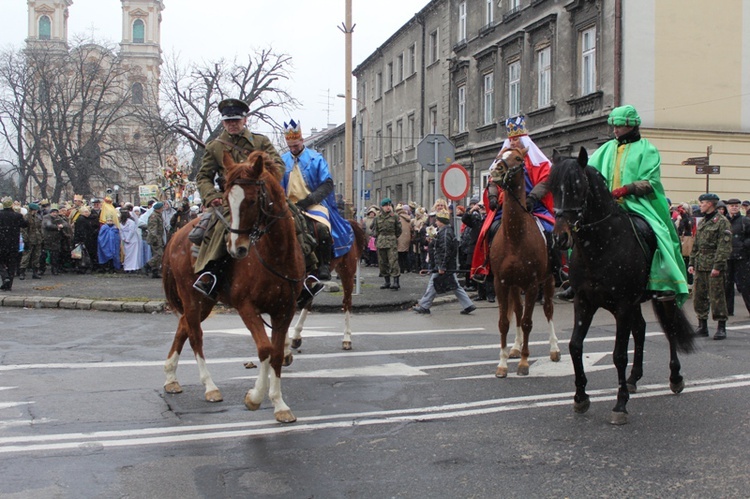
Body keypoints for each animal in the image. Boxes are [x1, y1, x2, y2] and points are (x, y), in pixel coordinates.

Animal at [162, 150, 306, 424]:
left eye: (251, 200)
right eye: (227, 200)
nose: (235, 248)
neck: (275, 255)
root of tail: (176, 235)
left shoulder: (284, 311)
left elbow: (277, 354)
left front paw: (280, 405)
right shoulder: (246, 307)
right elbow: (265, 349)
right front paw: (255, 397)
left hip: (205, 302)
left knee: (183, 327)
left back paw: (171, 377)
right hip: (191, 298)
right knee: (195, 336)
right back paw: (210, 387)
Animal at [290, 221, 368, 350]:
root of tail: (348, 222)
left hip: (347, 272)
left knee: (347, 302)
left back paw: (347, 338)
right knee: (308, 301)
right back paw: (296, 336)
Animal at [490, 146, 560, 376]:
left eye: (518, 158)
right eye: (498, 156)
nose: (496, 169)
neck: (514, 237)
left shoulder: (531, 285)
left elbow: (528, 322)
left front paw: (523, 362)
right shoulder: (501, 283)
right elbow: (504, 322)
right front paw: (502, 363)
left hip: (548, 280)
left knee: (548, 309)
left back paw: (554, 349)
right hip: (514, 285)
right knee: (518, 312)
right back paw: (515, 348)